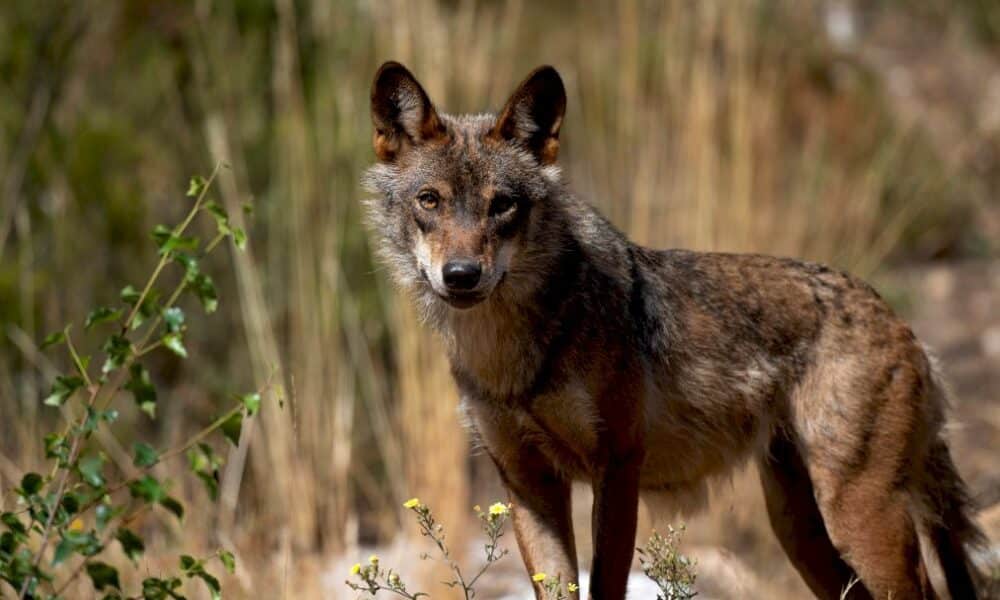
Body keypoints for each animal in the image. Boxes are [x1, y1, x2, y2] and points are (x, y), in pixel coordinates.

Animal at [363, 61, 985, 599]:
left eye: (502, 206)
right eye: (430, 201)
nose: (462, 275)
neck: (513, 355)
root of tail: (898, 319)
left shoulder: (619, 468)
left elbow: (605, 586)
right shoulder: (526, 483)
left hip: (857, 520)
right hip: (801, 531)